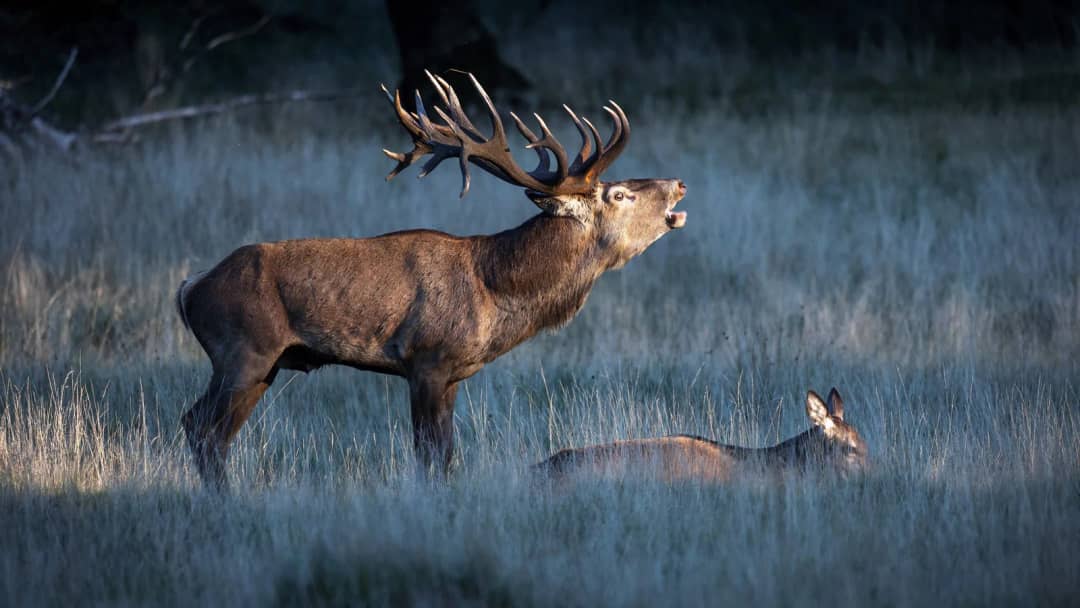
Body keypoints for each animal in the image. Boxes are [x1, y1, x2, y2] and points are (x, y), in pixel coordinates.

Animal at [176, 70, 689, 489]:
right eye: (618, 194)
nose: (679, 184)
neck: (495, 289)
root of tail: (190, 288)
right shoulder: (425, 358)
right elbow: (429, 456)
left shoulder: (454, 373)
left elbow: (445, 456)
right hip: (243, 350)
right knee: (201, 429)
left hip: (266, 364)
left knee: (207, 429)